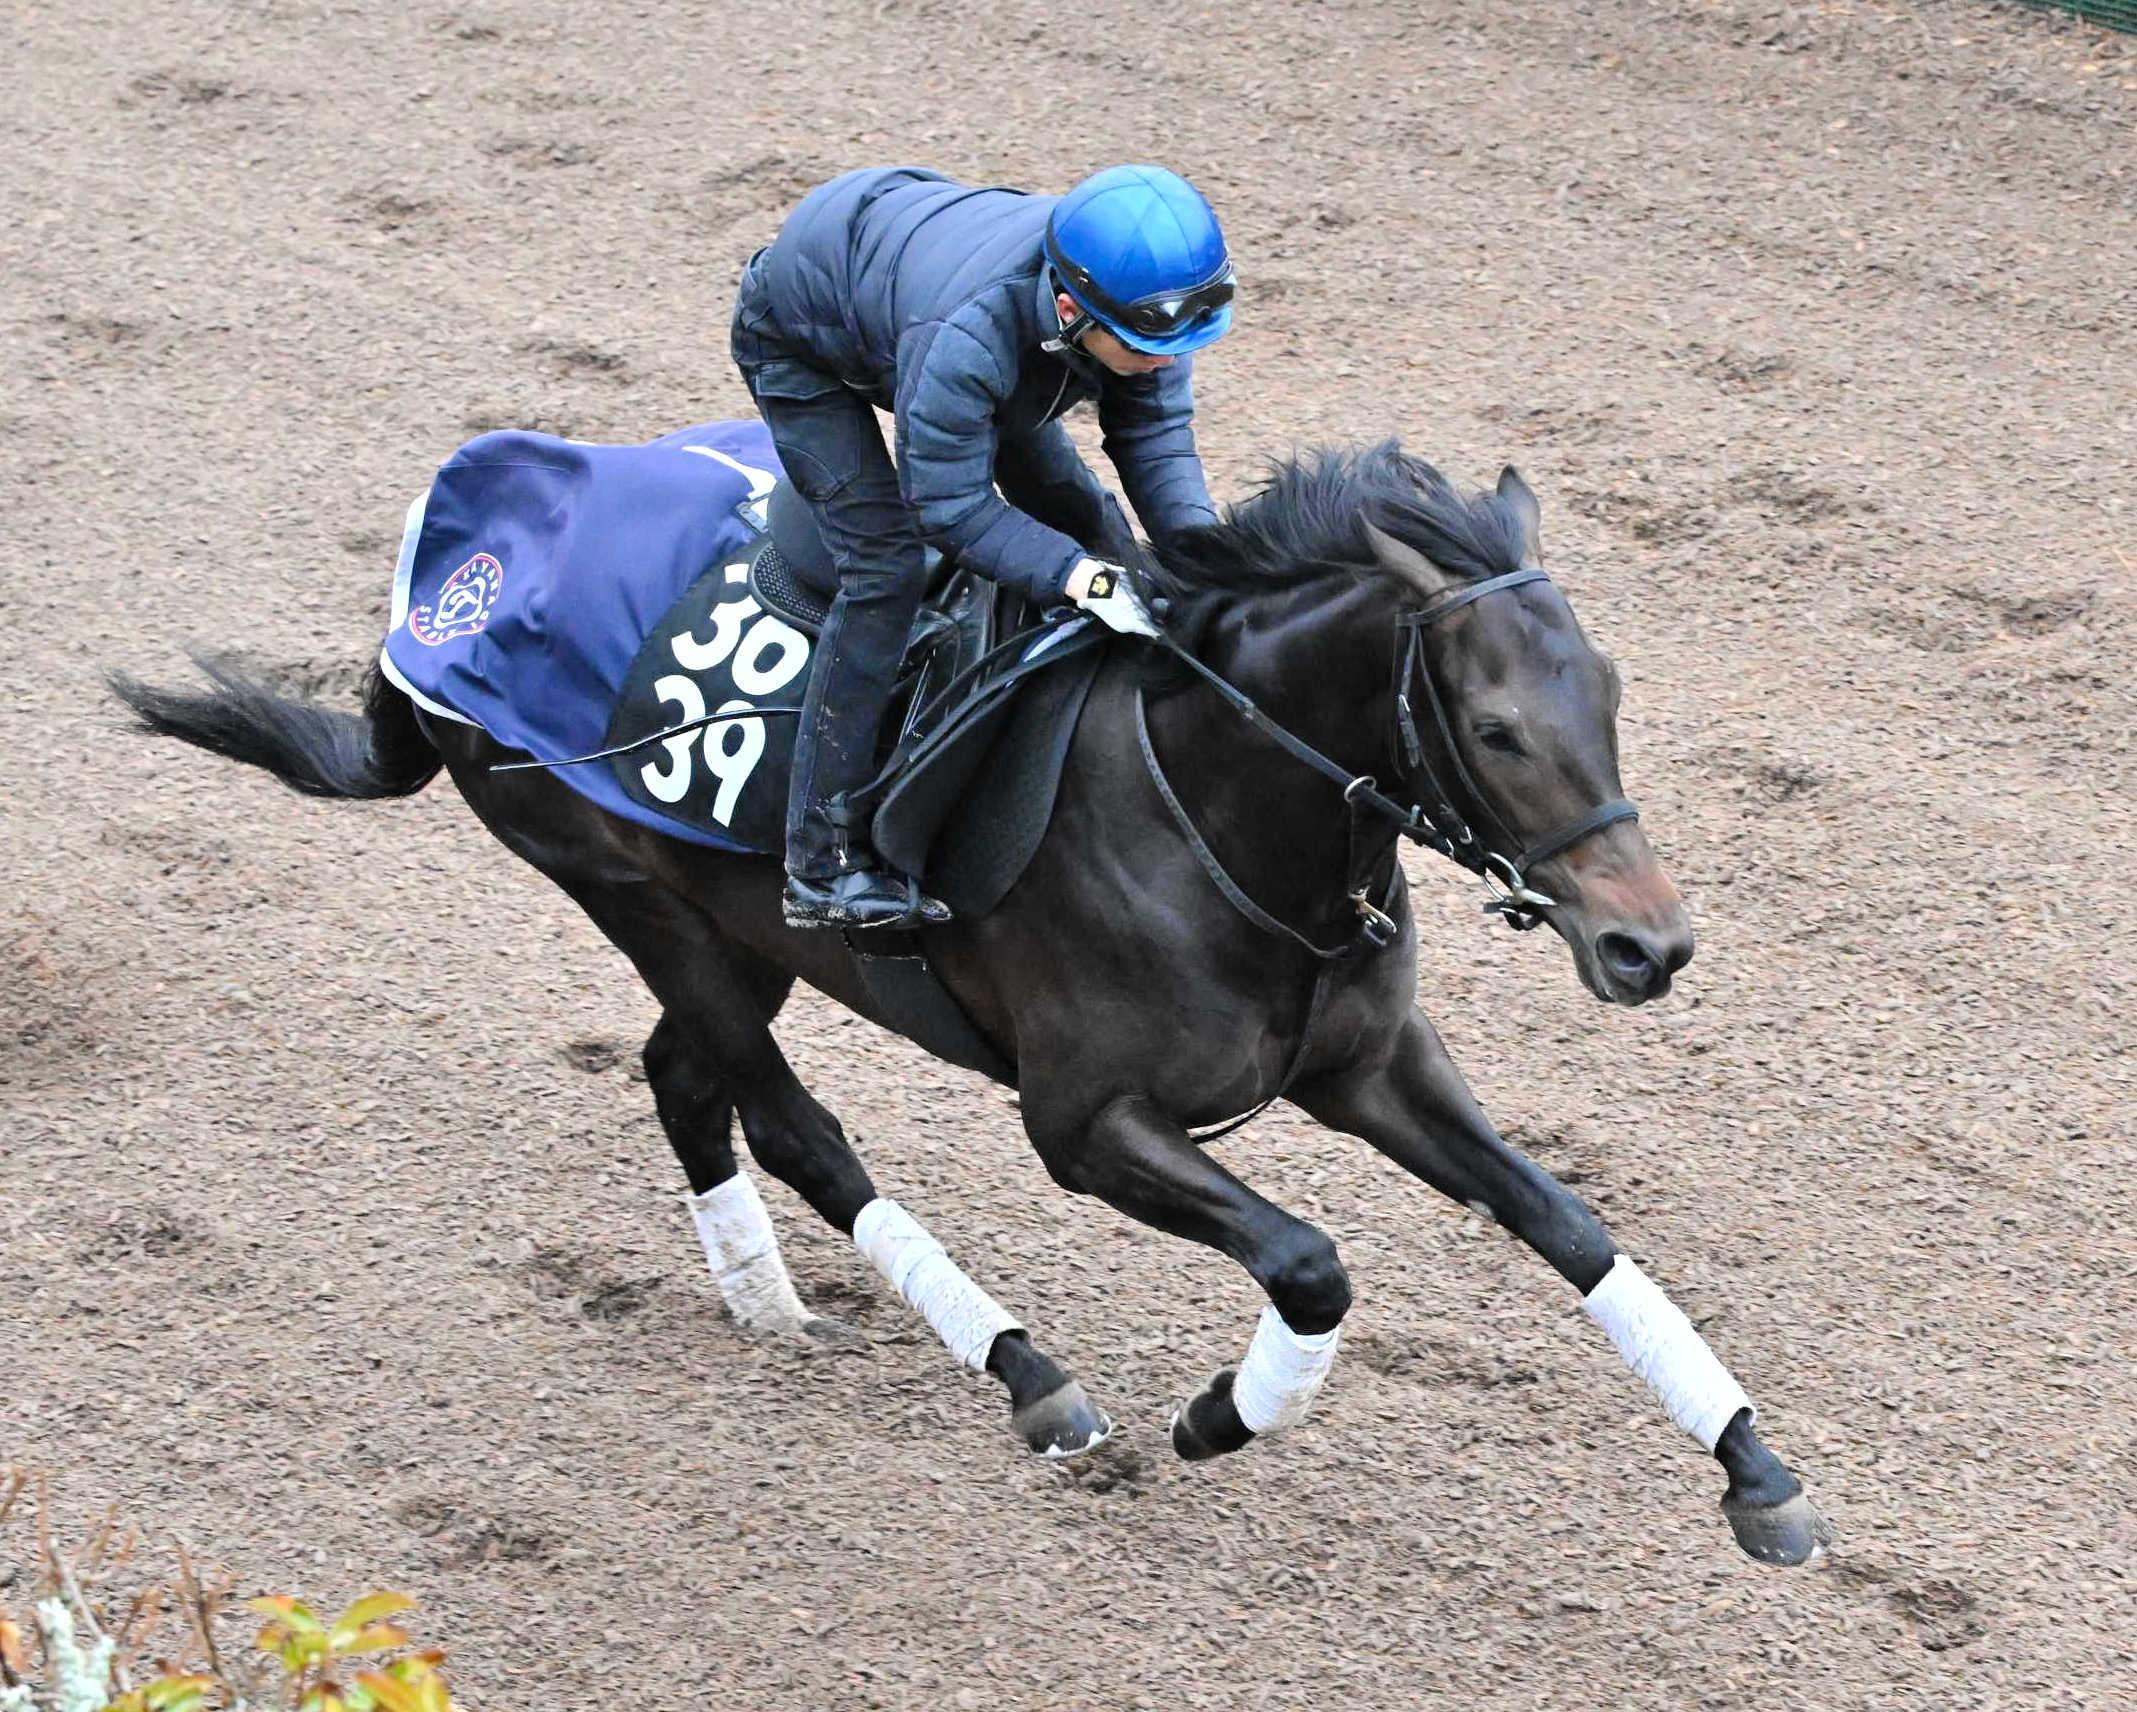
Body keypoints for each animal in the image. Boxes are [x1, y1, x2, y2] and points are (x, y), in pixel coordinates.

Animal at [112, 440, 1837, 1564]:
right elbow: (1311, 1263)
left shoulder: (1371, 1066)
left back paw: (770, 1308)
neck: (1219, 810)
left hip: (733, 929)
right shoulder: (1085, 1120)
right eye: (1491, 726)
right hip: (630, 889)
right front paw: (1218, 1414)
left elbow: (1566, 1222)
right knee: (787, 1122)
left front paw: (1754, 1470)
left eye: (1605, 692)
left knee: (686, 1080)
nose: (1648, 948)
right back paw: (1028, 1376)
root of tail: (446, 592)